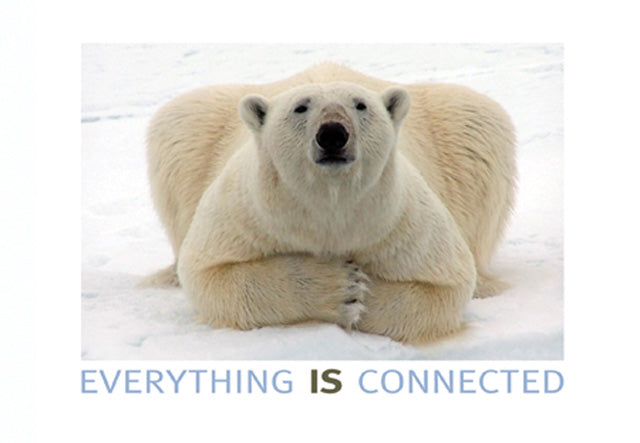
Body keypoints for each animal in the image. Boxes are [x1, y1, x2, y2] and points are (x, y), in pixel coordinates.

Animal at [144, 62, 516, 344]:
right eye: (301, 106)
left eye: (360, 105)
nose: (333, 134)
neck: (330, 210)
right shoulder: (245, 214)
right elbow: (211, 275)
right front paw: (341, 286)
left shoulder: (403, 223)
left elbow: (446, 285)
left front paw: (362, 292)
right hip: (198, 128)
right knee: (179, 124)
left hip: (458, 131)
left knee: (479, 125)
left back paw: (486, 283)